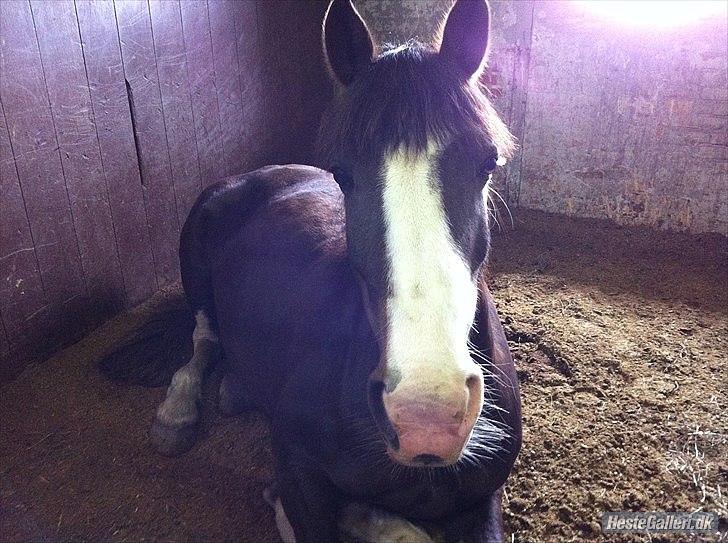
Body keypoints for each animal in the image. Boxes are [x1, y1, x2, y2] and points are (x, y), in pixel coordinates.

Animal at [101, 0, 524, 540]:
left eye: (488, 163)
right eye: (342, 173)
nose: (425, 415)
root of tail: (265, 173)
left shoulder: (482, 498)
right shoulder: (300, 475)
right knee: (202, 338)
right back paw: (176, 415)